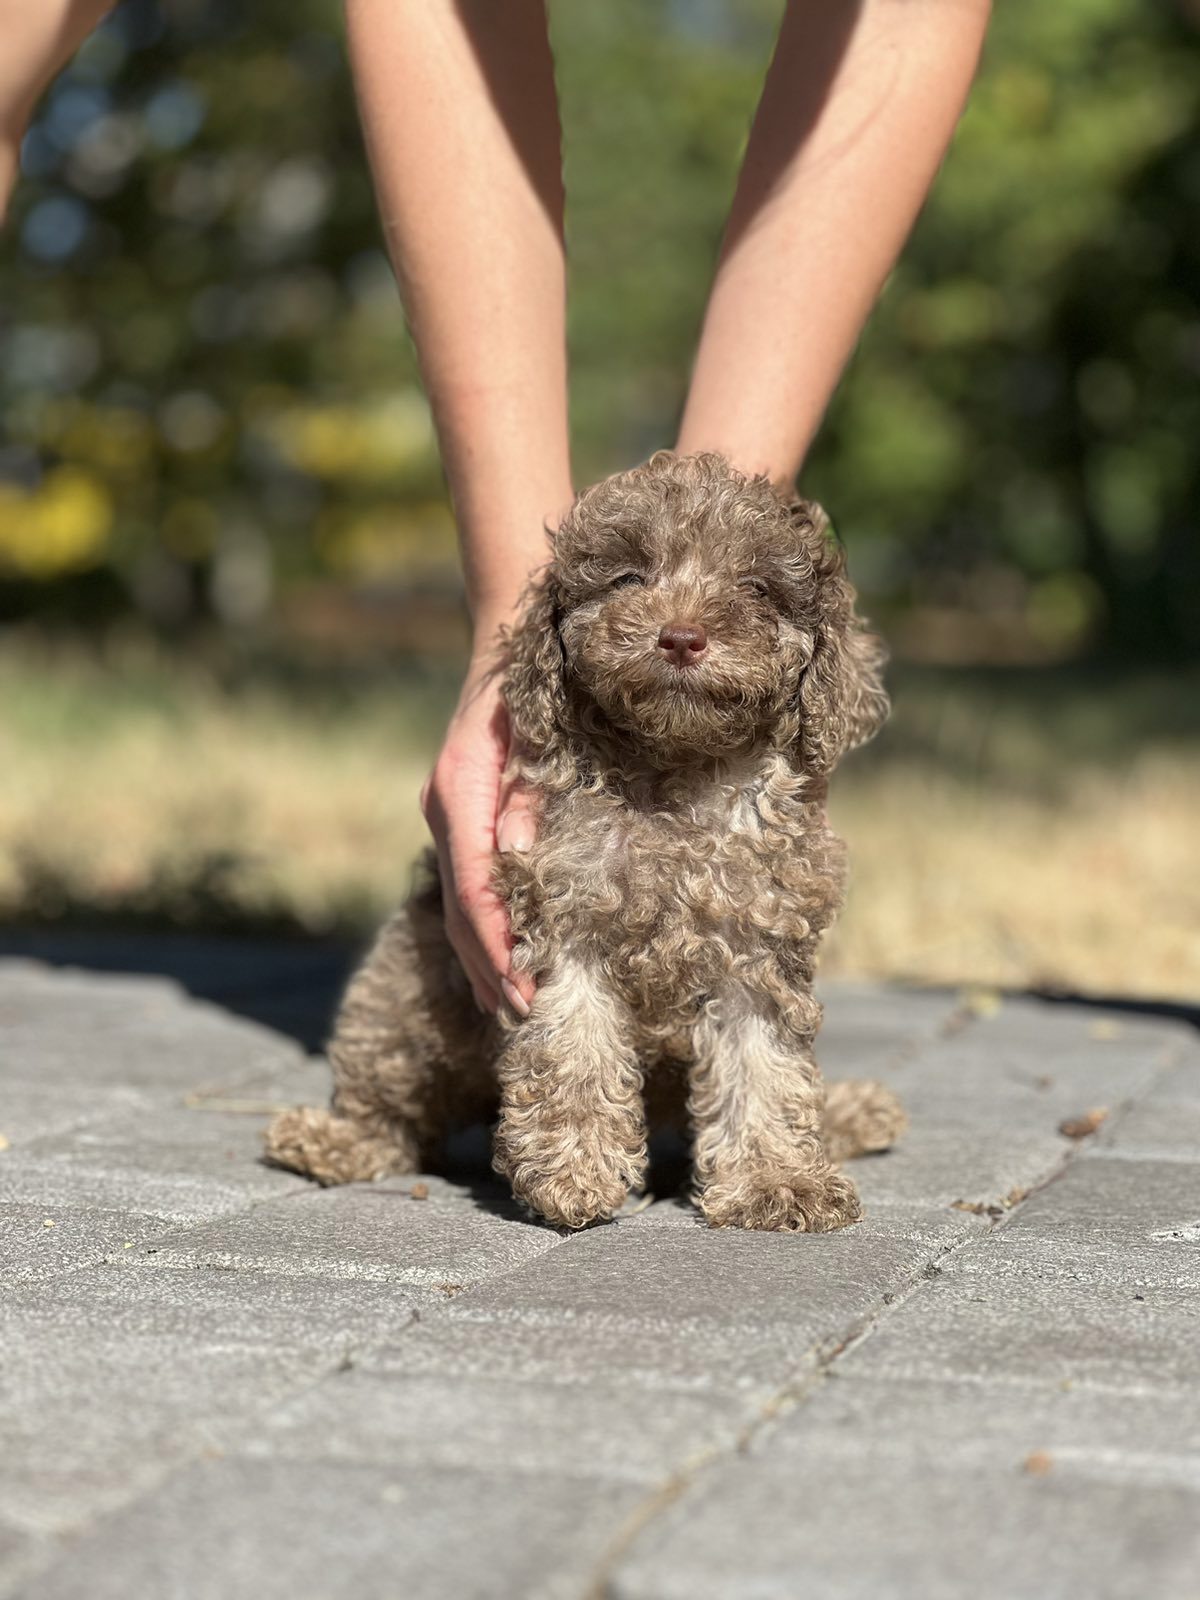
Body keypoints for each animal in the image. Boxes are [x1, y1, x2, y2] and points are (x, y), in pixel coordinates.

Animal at [267, 457, 908, 1228]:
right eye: (628, 577)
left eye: (756, 589)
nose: (682, 636)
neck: (674, 776)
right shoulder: (562, 927)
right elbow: (575, 1047)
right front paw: (573, 1170)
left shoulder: (758, 949)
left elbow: (765, 1066)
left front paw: (777, 1180)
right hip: (403, 989)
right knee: (392, 1104)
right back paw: (333, 1140)